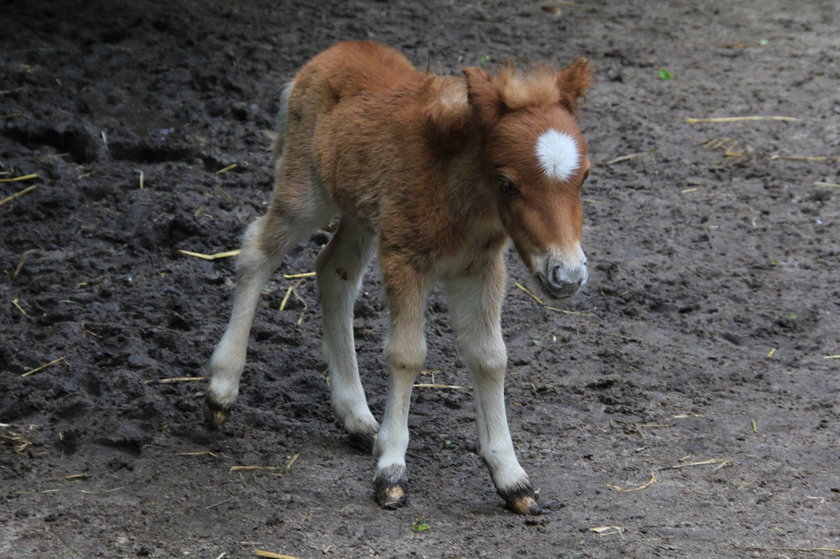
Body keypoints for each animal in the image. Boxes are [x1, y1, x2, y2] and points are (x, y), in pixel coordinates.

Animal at [205, 41, 592, 516]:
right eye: (507, 184)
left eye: (585, 177)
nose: (567, 275)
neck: (457, 190)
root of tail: (330, 54)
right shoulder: (405, 259)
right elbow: (407, 354)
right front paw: (390, 470)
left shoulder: (480, 268)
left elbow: (490, 357)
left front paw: (512, 478)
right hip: (305, 192)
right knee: (257, 252)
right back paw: (221, 390)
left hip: (359, 212)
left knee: (334, 271)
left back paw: (357, 418)